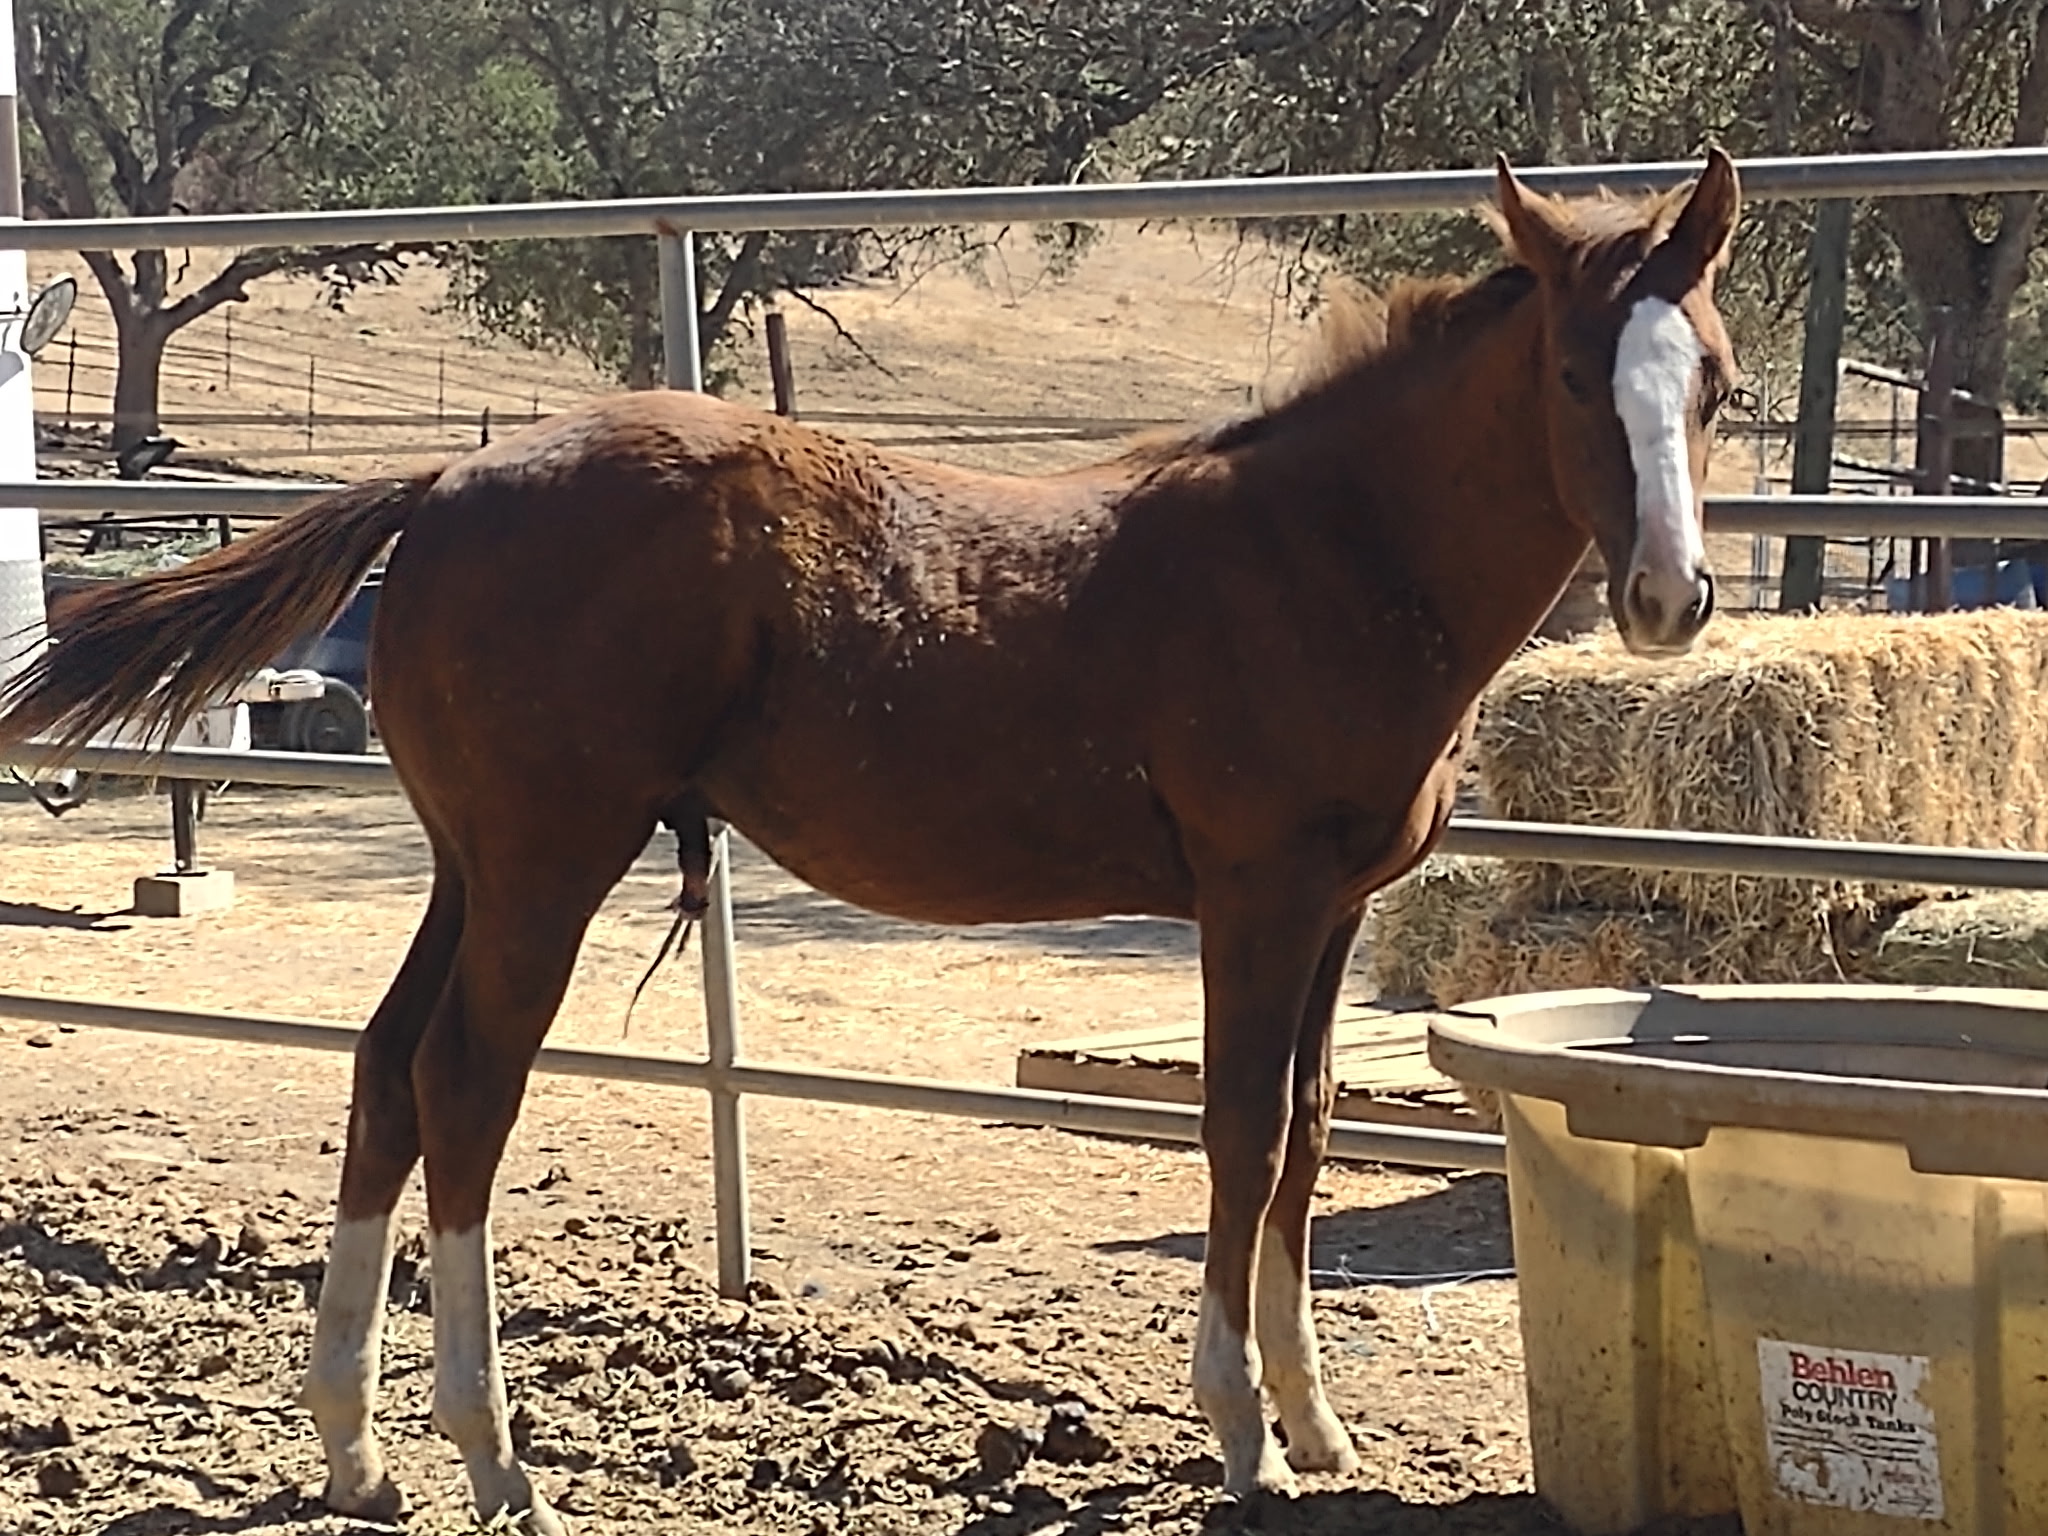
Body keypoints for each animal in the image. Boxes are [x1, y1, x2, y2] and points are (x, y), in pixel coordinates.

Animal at [0, 152, 1740, 1526]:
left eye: (1712, 380)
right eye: (1573, 376)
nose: (1672, 601)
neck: (1326, 548)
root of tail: (447, 480)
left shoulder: (1336, 911)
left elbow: (1308, 1133)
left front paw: (1317, 1427)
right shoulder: (1256, 896)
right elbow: (1242, 1136)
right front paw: (1240, 1435)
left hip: (472, 866)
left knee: (382, 1072)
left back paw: (357, 1452)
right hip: (550, 864)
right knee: (465, 1085)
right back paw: (495, 1457)